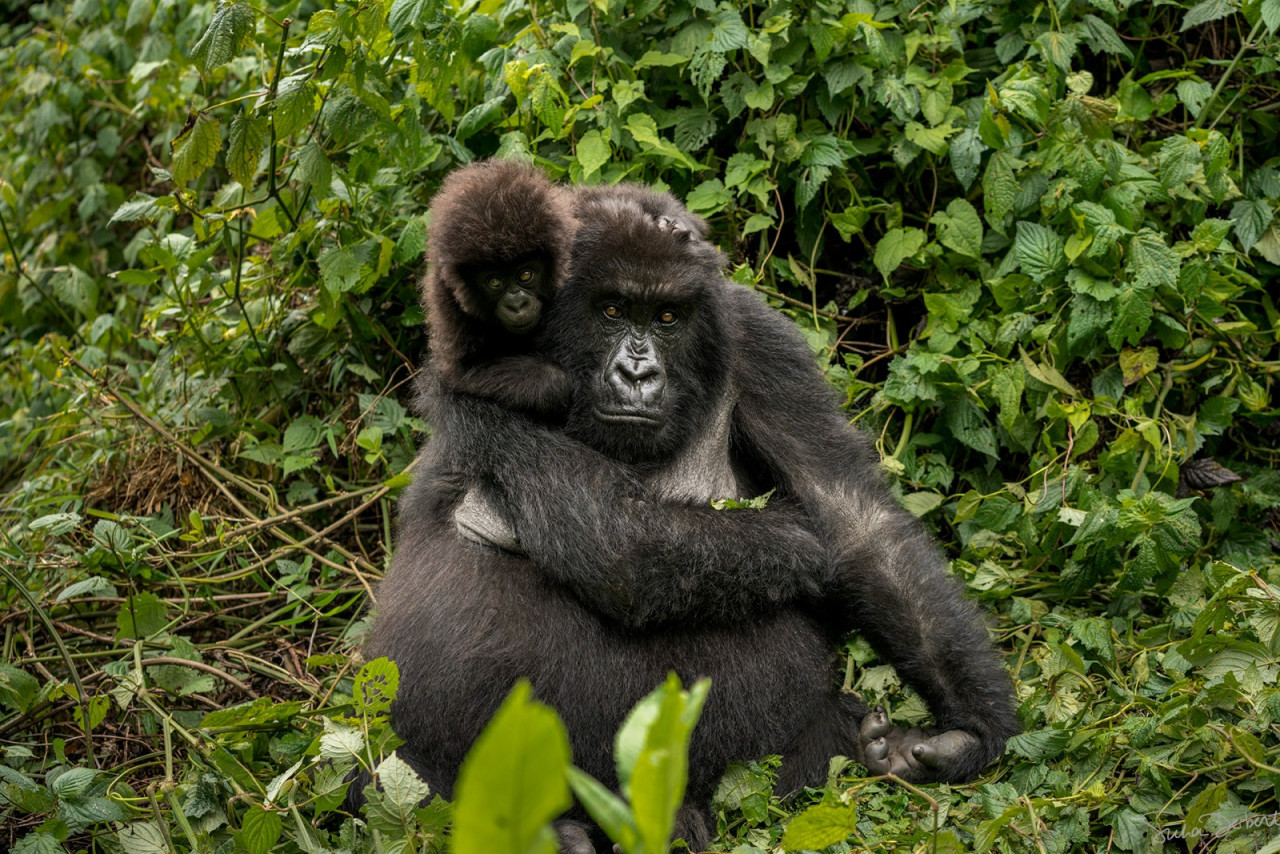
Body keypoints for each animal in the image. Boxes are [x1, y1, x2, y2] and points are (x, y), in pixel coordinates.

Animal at [366, 192, 1013, 850]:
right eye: (611, 309)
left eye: (668, 318)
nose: (637, 374)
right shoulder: (475, 368)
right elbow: (624, 546)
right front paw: (790, 542)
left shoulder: (760, 341)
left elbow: (853, 519)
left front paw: (972, 730)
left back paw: (858, 745)